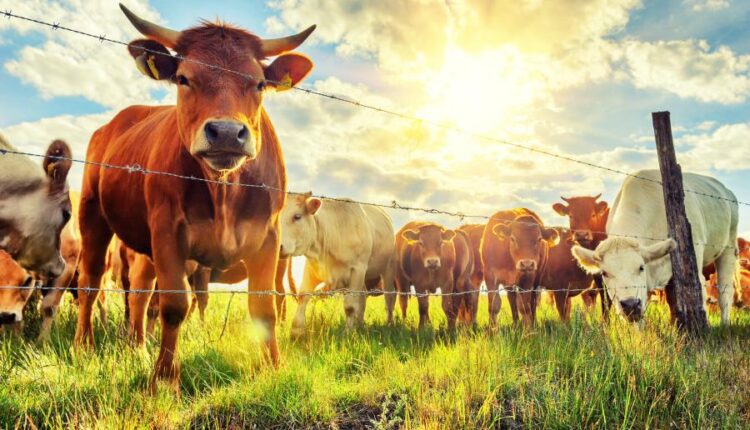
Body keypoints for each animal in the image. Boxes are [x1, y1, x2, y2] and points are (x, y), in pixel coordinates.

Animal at [74, 4, 315, 392]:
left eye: (259, 83)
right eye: (183, 78)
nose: (228, 133)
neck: (224, 189)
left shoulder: (269, 238)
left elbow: (264, 306)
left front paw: (273, 367)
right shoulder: (168, 232)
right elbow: (175, 306)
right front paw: (164, 379)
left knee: (140, 290)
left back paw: (138, 348)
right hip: (92, 214)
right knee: (91, 281)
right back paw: (84, 346)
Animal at [279, 193, 397, 337]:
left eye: (297, 216)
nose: (279, 246)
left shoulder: (357, 269)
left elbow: (350, 306)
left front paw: (348, 333)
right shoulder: (312, 268)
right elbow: (303, 297)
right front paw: (296, 332)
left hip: (388, 269)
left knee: (389, 298)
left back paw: (389, 324)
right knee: (362, 298)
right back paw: (360, 325)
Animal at [572, 169, 738, 325]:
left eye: (641, 267)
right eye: (605, 273)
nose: (630, 304)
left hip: (729, 246)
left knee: (725, 291)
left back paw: (725, 324)